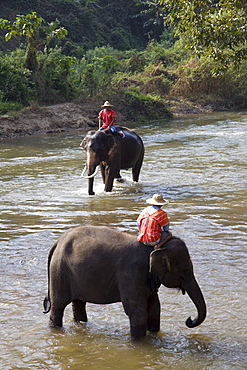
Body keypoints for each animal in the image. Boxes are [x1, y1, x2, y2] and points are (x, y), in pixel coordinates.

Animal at [44, 225, 206, 338]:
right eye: (185, 270)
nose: (189, 319)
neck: (156, 246)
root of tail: (57, 242)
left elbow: (154, 307)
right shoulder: (131, 273)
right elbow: (136, 309)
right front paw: (139, 342)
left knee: (78, 303)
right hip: (59, 271)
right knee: (58, 305)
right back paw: (55, 328)